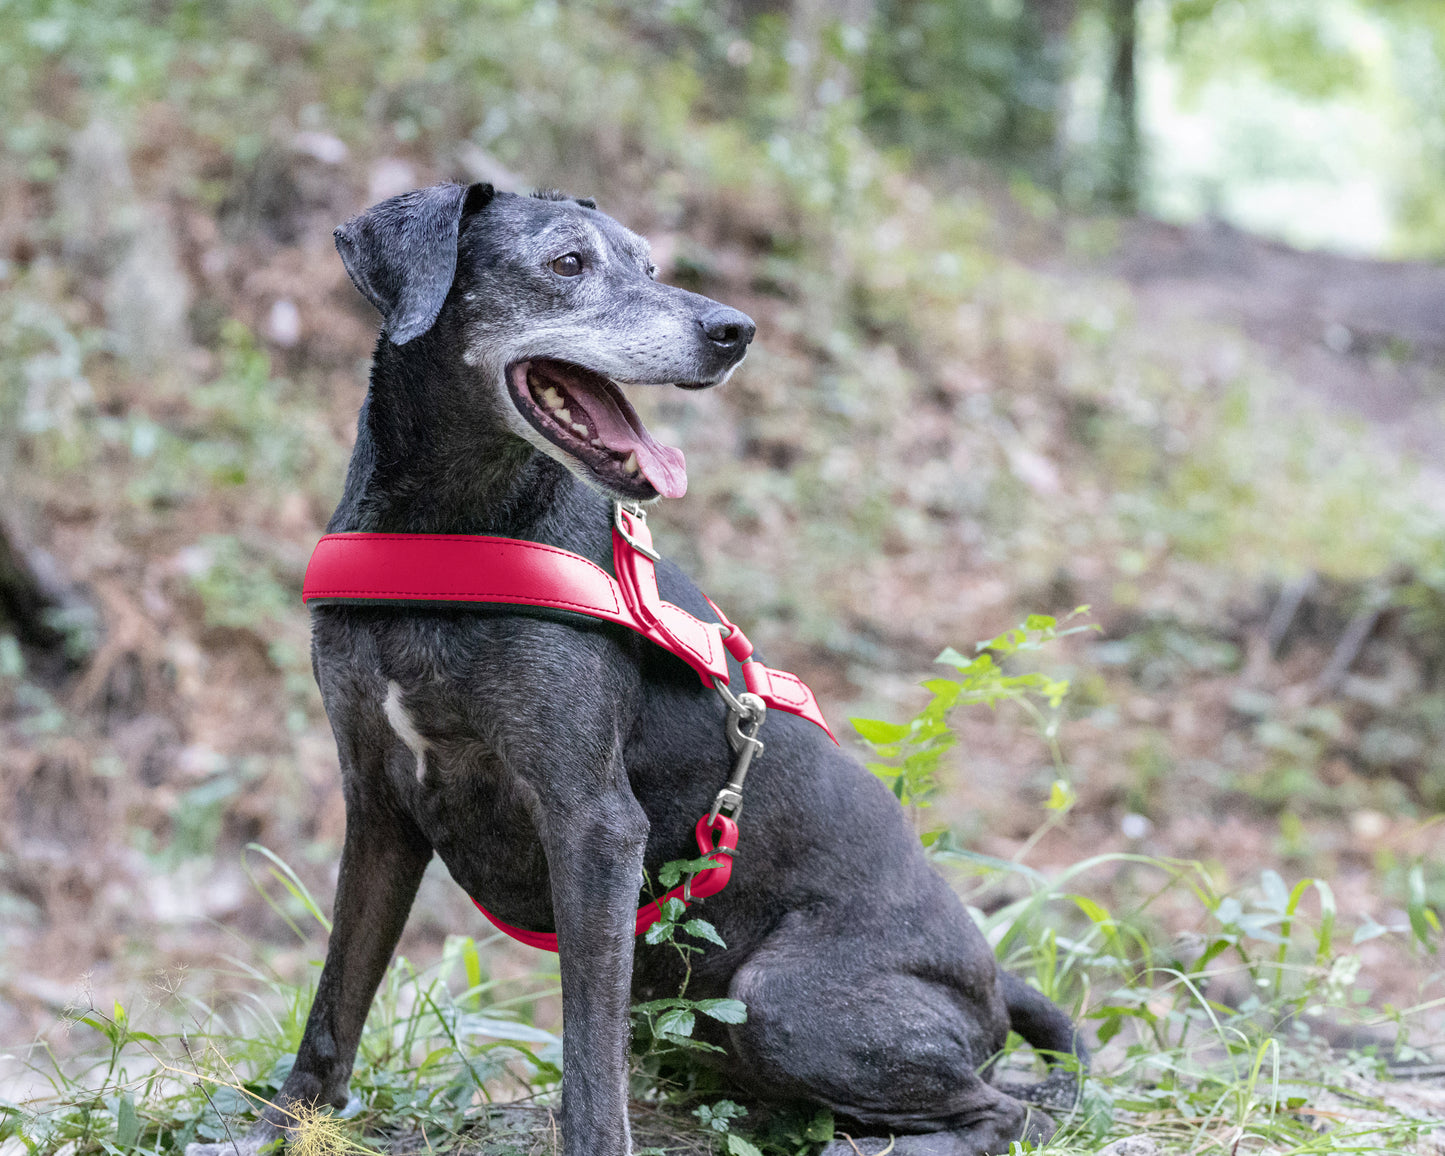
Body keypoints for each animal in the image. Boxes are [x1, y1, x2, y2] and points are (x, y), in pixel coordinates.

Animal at [183, 180, 1086, 1156]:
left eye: (651, 265)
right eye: (566, 263)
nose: (734, 330)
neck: (447, 530)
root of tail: (994, 981)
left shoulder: (592, 823)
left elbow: (588, 1056)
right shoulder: (379, 804)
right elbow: (335, 1000)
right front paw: (278, 1123)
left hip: (782, 999)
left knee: (1008, 1111)